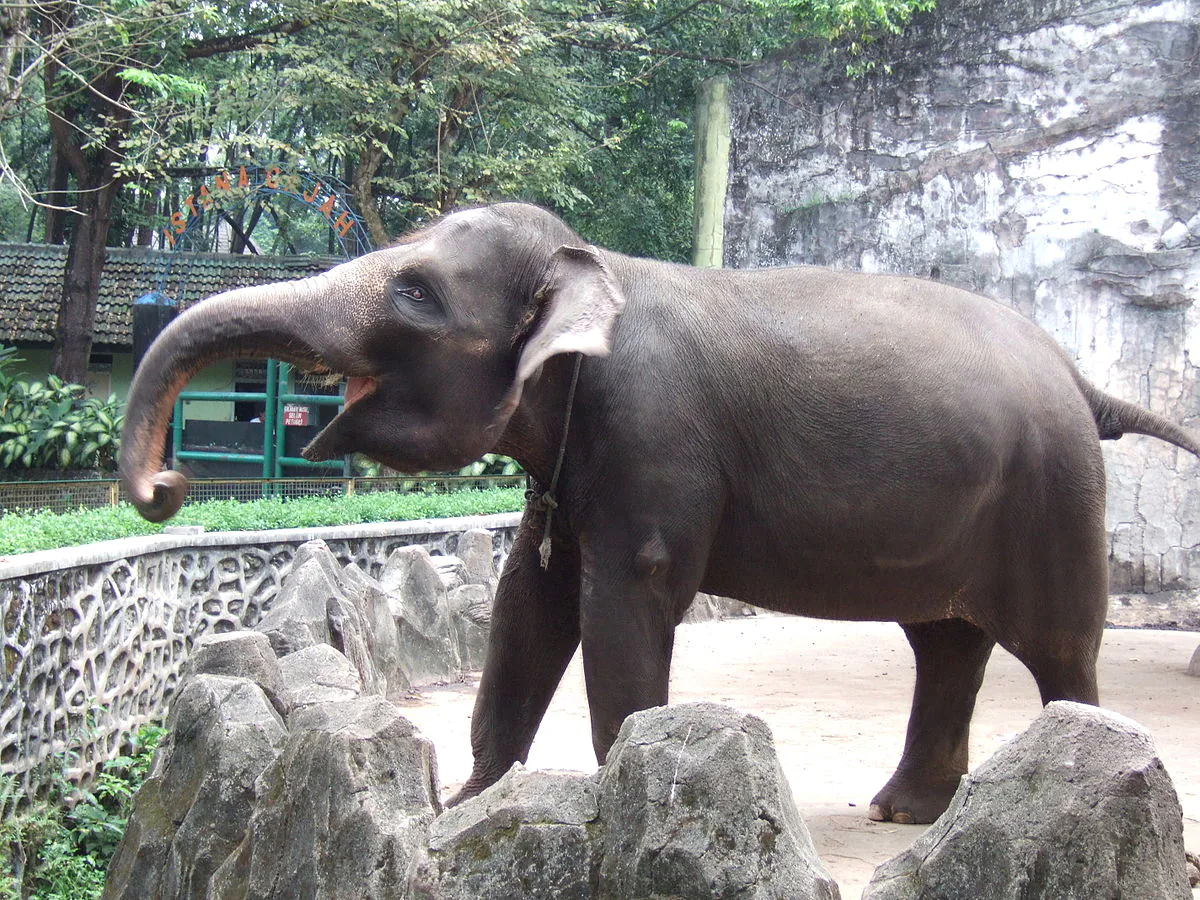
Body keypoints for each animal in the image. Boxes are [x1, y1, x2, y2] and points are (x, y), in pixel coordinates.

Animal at [119, 202, 1200, 825]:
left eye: (416, 294)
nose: (163, 489)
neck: (598, 267)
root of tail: (1077, 374)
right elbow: (526, 605)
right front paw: (467, 807)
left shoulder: (653, 436)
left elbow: (622, 600)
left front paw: (614, 794)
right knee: (946, 642)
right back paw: (907, 815)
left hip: (1052, 493)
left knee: (1057, 648)